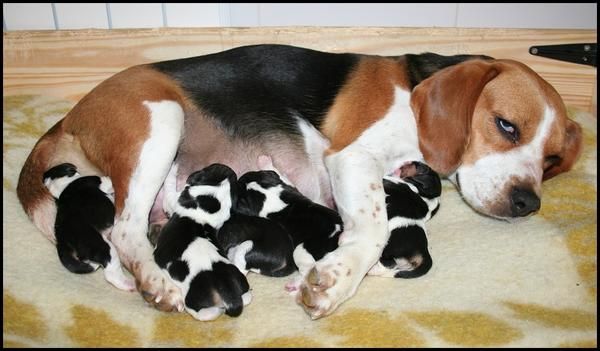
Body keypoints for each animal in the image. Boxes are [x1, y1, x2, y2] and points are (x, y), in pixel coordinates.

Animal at [42, 164, 135, 292]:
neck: (62, 186)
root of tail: (62, 241)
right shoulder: (100, 180)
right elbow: (108, 181)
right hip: (104, 247)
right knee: (111, 274)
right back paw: (129, 285)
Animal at [154, 164, 252, 320]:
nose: (229, 169)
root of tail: (226, 286)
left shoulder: (172, 201)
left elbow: (169, 185)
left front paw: (172, 168)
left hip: (192, 299)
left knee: (203, 313)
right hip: (241, 281)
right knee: (247, 297)